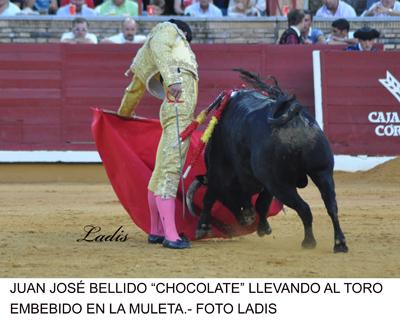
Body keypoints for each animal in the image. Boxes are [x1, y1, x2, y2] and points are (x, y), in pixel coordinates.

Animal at [186, 87, 348, 252]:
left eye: (225, 198)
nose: (245, 220)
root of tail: (293, 121)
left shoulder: (218, 172)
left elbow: (209, 197)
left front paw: (201, 228)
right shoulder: (265, 183)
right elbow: (262, 203)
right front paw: (263, 227)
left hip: (280, 185)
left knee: (304, 209)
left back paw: (309, 242)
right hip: (321, 172)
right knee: (331, 206)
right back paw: (339, 243)